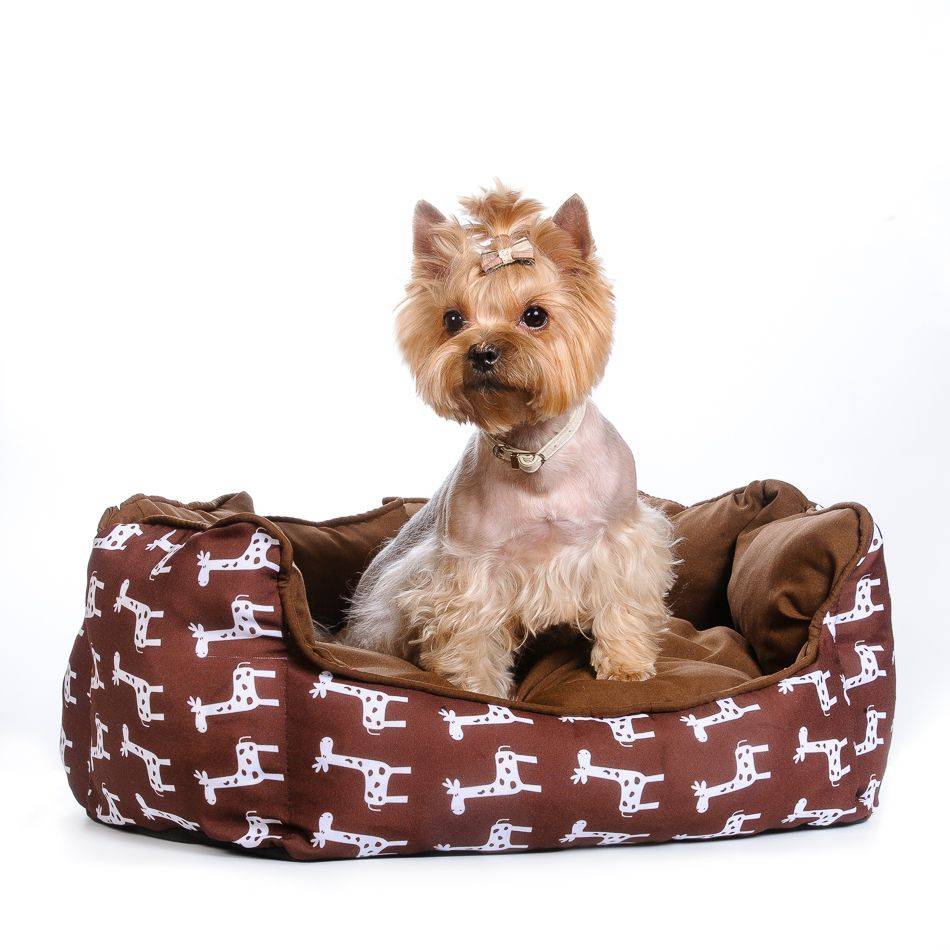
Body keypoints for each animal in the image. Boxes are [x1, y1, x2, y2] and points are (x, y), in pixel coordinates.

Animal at [339, 184, 676, 698]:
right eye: (452, 319)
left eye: (535, 316)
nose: (481, 352)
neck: (533, 451)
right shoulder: (469, 570)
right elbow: (470, 635)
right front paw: (478, 691)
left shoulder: (620, 540)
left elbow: (622, 604)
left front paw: (624, 666)